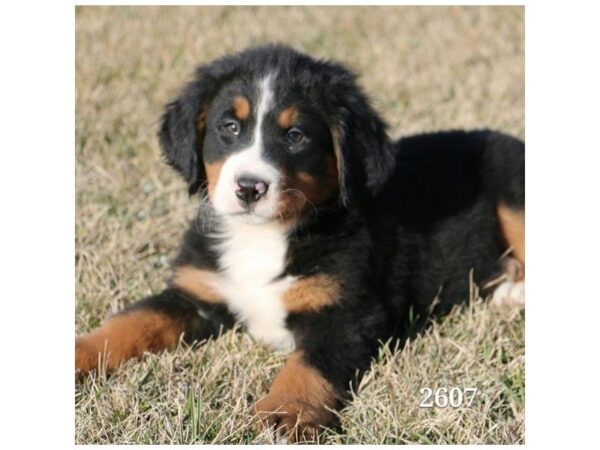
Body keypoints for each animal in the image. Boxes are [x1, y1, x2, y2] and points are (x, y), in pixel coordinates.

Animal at [75, 44, 524, 440]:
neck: (263, 236)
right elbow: (131, 323)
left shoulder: (346, 313)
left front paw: (284, 412)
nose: (249, 188)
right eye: (229, 127)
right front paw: (79, 353)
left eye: (295, 136)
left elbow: (307, 367)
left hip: (510, 186)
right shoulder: (196, 292)